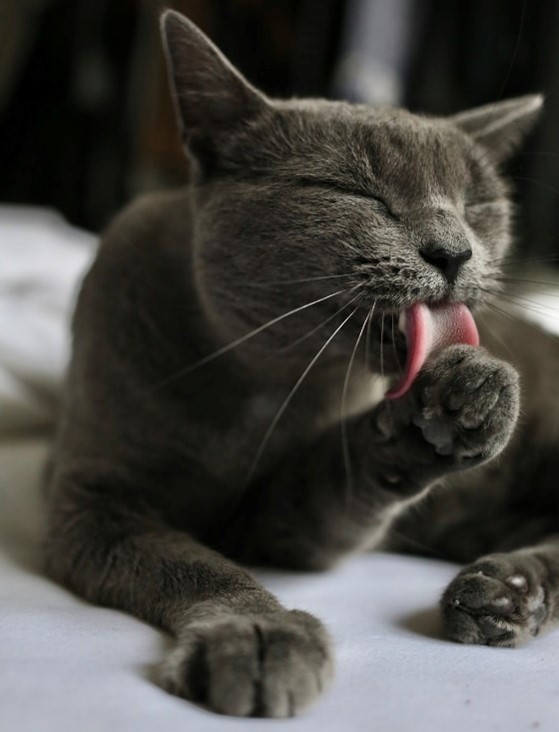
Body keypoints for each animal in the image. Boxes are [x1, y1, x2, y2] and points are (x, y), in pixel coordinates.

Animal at [43, 10, 559, 720]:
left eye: (476, 204)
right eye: (355, 191)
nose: (454, 251)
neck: (262, 385)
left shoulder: (280, 524)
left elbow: (339, 475)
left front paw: (466, 397)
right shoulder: (93, 501)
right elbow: (195, 563)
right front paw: (260, 636)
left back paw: (498, 591)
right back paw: (502, 592)